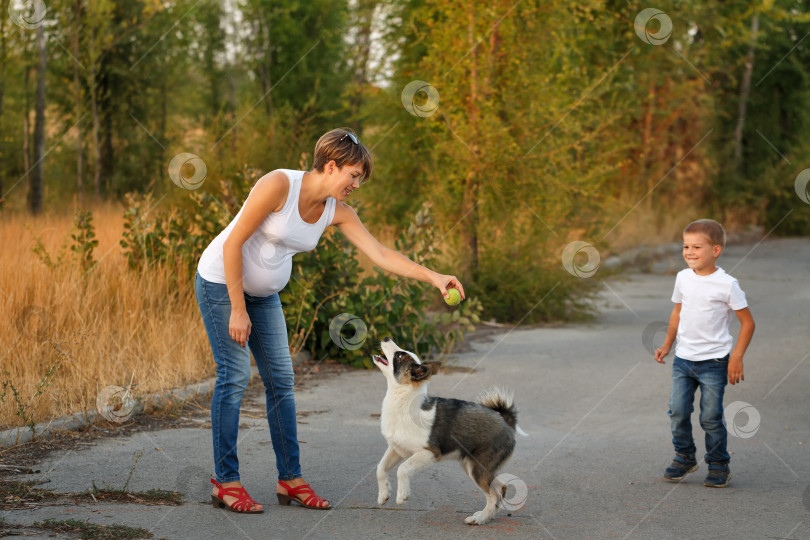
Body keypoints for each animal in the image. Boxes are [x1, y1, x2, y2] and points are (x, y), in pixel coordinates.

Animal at [374, 338, 524, 524]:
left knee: (495, 493)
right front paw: (383, 494)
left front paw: (402, 495)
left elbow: (403, 469)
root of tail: (506, 420)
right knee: (499, 490)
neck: (404, 401)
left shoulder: (429, 453)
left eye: (400, 356)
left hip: (478, 468)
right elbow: (380, 468)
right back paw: (485, 516)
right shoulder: (396, 449)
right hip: (473, 466)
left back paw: (481, 518)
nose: (386, 338)